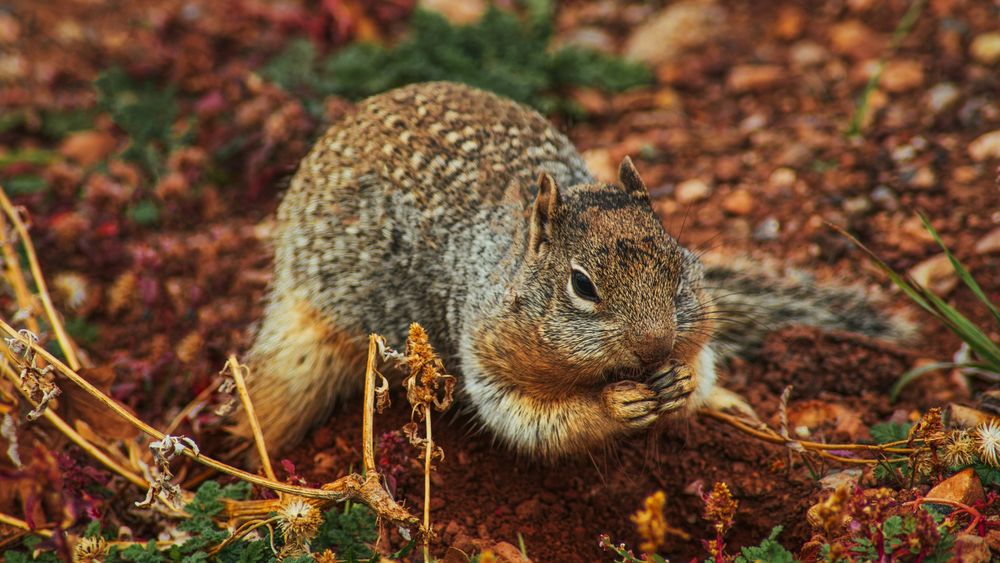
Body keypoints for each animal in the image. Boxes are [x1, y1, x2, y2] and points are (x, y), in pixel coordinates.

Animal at [236, 81, 916, 460]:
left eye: (677, 263)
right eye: (582, 286)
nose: (654, 345)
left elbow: (699, 360)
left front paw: (681, 383)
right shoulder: (484, 347)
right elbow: (532, 418)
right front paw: (617, 405)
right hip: (311, 338)